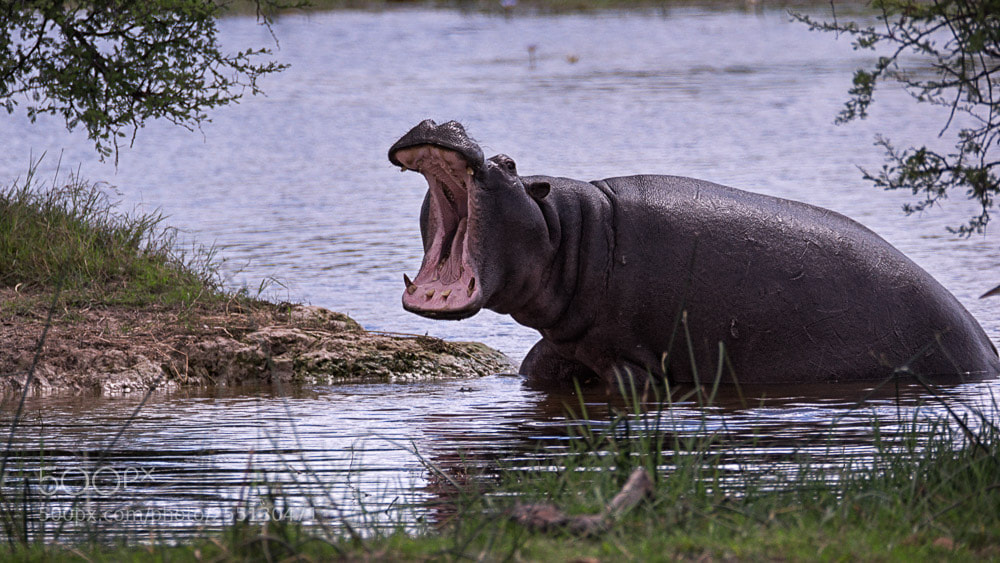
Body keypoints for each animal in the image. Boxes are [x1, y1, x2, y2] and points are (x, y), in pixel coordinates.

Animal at [389, 120, 1000, 386]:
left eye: (510, 163)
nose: (445, 121)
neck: (568, 231)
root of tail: (987, 355)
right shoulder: (566, 347)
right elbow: (535, 366)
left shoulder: (630, 362)